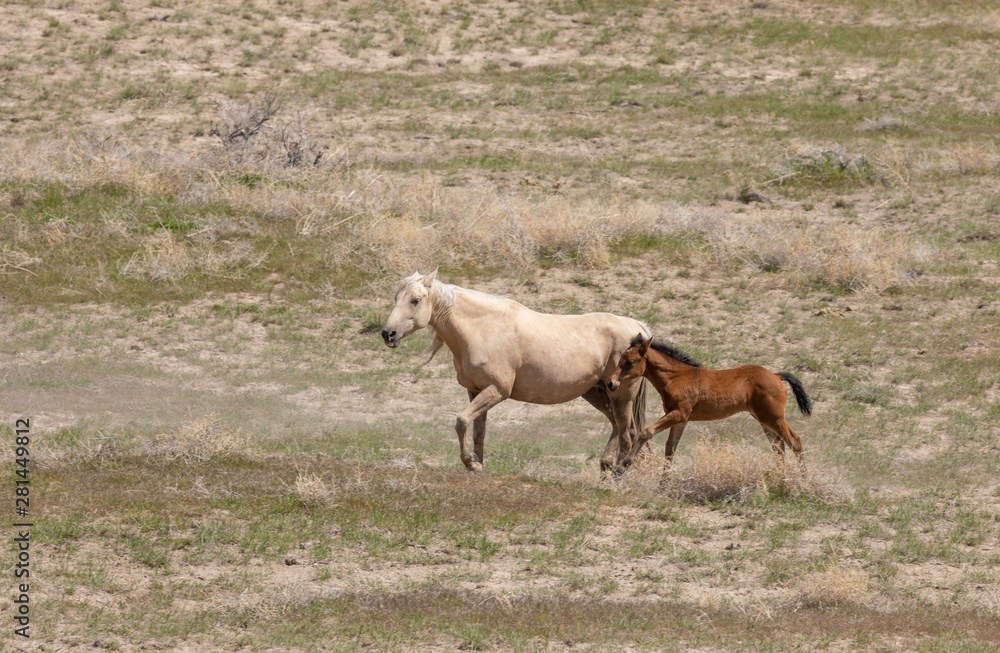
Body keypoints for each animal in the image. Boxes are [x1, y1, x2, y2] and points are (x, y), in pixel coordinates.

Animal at [381, 270, 651, 472]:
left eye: (415, 300)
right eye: (396, 298)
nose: (388, 334)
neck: (483, 330)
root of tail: (637, 328)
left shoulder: (497, 390)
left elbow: (461, 421)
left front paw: (470, 462)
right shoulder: (475, 391)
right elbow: (478, 431)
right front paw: (478, 465)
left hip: (621, 395)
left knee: (628, 434)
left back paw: (617, 474)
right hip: (596, 392)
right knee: (617, 426)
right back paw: (605, 467)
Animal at [607, 335, 812, 472]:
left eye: (631, 361)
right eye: (620, 359)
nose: (611, 383)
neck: (676, 377)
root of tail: (776, 375)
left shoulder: (679, 414)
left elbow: (646, 432)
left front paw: (622, 467)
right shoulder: (681, 419)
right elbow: (670, 449)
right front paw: (663, 485)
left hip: (774, 417)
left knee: (795, 441)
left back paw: (801, 480)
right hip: (764, 419)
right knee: (779, 448)